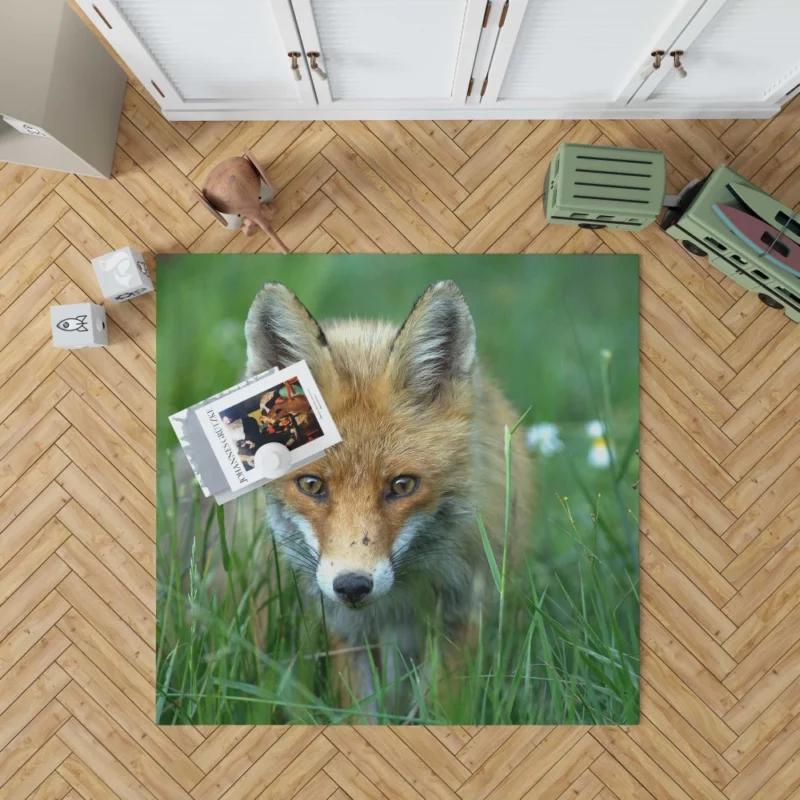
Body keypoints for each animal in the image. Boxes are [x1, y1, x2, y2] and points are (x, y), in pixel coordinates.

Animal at [244, 278, 532, 716]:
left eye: (402, 486)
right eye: (311, 485)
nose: (352, 586)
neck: (399, 602)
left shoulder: (461, 613)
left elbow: (441, 709)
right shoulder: (345, 630)